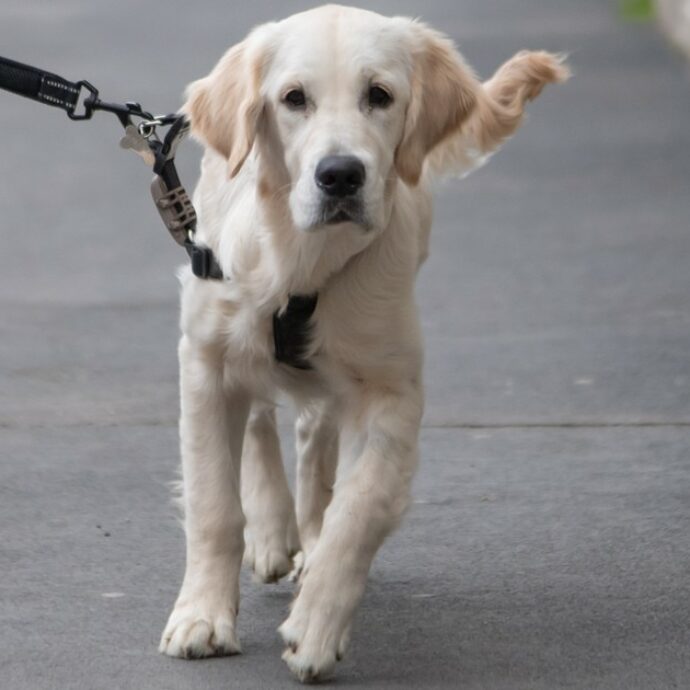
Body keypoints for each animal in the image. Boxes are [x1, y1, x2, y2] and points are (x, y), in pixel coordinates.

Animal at [159, 4, 568, 684]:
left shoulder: (390, 388)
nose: (340, 175)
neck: (304, 261)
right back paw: (273, 529)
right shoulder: (205, 362)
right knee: (262, 418)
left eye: (379, 95)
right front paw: (203, 617)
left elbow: (359, 509)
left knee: (314, 437)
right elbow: (215, 504)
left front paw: (317, 628)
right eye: (293, 99)